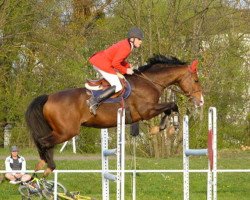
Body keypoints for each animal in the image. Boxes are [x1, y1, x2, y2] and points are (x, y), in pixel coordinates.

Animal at [25, 54, 204, 175]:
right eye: (196, 80)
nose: (201, 101)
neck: (149, 81)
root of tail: (49, 97)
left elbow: (170, 107)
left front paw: (162, 128)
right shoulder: (146, 111)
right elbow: (172, 105)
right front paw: (169, 127)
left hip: (59, 130)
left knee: (43, 143)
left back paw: (40, 167)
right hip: (67, 131)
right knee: (43, 142)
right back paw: (48, 167)